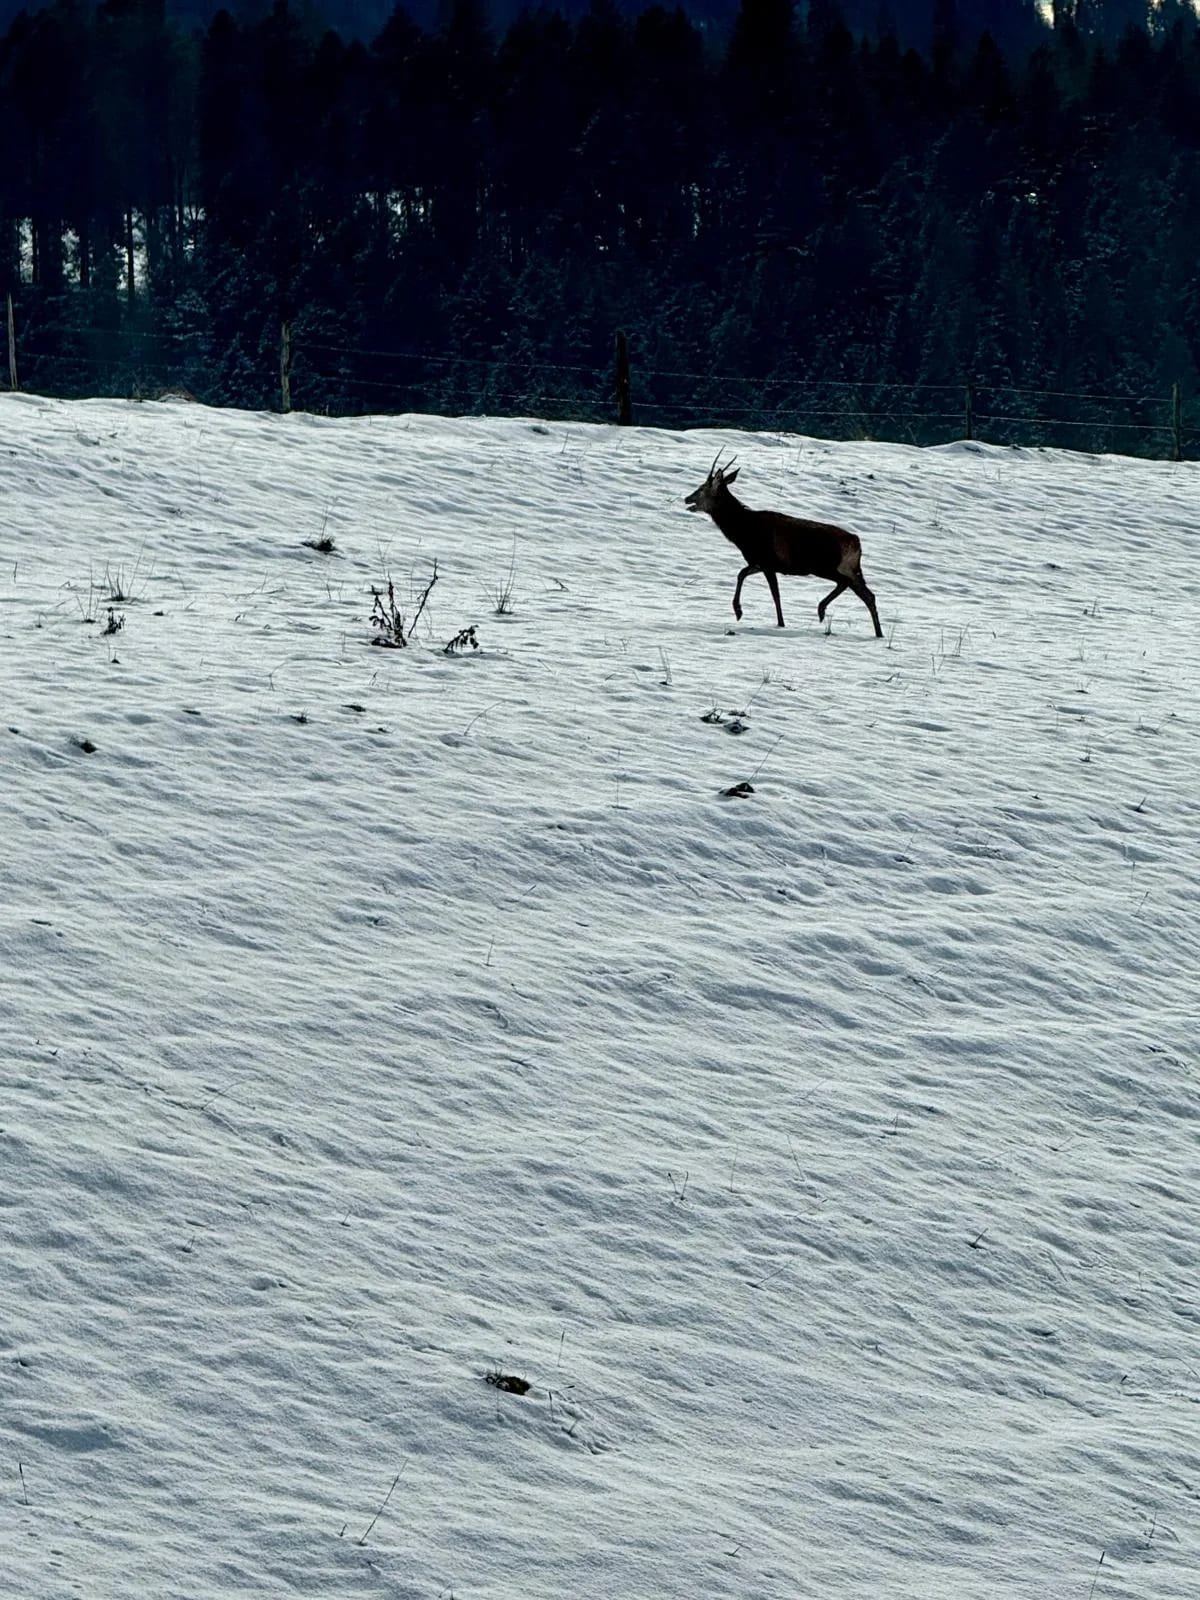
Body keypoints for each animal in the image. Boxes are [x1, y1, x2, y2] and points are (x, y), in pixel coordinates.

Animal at [684, 452, 883, 637]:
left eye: (702, 488)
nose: (687, 498)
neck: (743, 533)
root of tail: (856, 543)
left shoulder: (766, 561)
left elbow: (775, 594)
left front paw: (777, 622)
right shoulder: (760, 562)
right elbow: (742, 574)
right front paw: (739, 611)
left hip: (827, 565)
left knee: (848, 585)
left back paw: (822, 610)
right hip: (849, 568)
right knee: (868, 595)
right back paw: (877, 632)